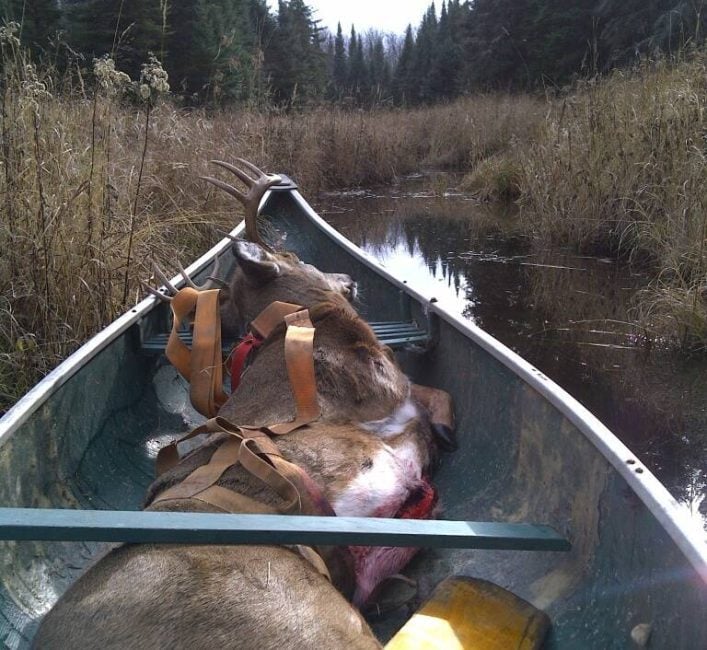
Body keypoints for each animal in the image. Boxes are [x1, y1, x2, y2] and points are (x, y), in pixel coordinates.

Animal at [33, 160, 455, 649]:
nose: (349, 279)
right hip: (308, 623)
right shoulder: (380, 379)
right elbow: (432, 395)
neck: (292, 323)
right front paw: (444, 430)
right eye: (297, 258)